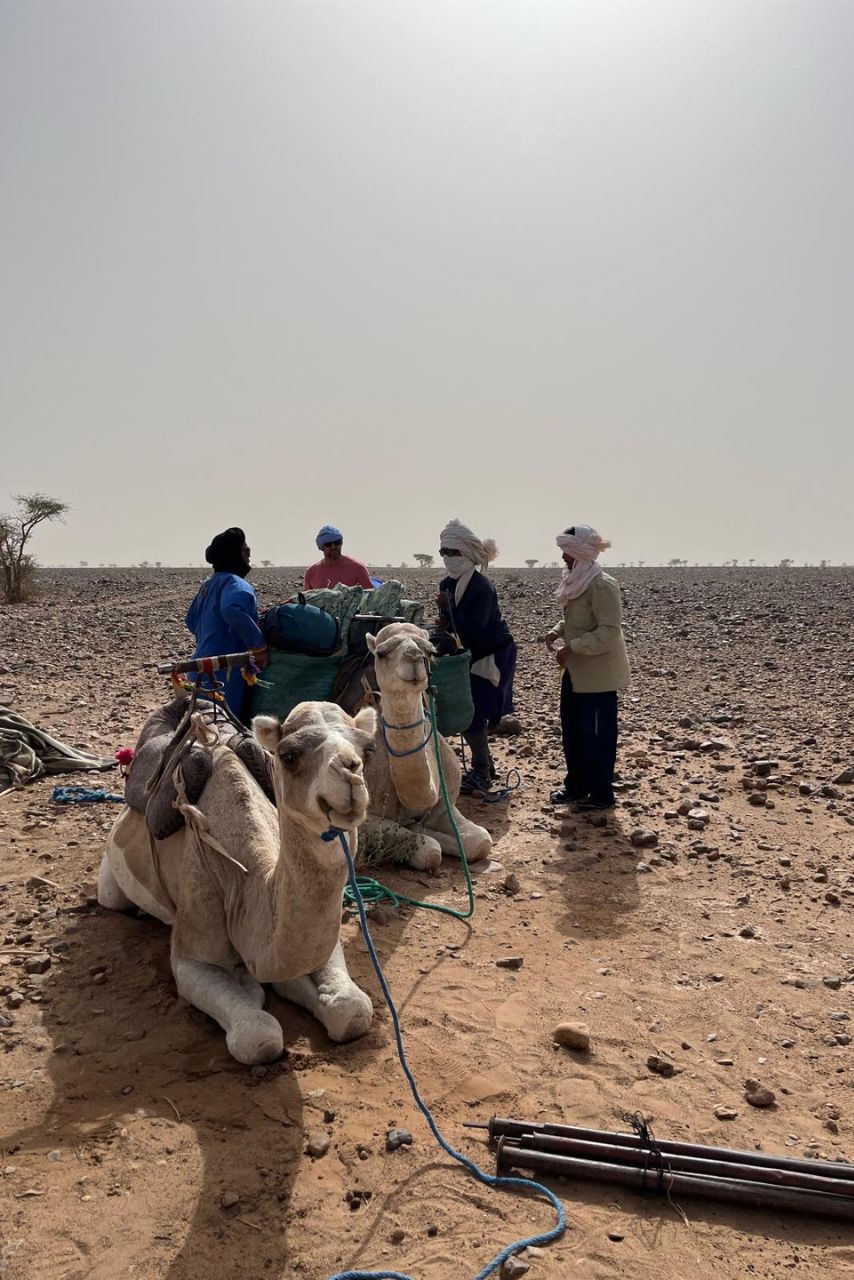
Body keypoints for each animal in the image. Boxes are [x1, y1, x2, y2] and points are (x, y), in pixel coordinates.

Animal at [97, 701, 376, 1059]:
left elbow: (352, 1009)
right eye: (287, 755)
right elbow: (258, 1037)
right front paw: (252, 988)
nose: (349, 772)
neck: (244, 881)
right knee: (113, 897)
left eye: (368, 749)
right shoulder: (191, 953)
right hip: (111, 882)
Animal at [361, 619, 494, 870]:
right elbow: (430, 850)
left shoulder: (445, 805)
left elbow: (481, 841)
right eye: (382, 653)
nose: (413, 656)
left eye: (430, 652)